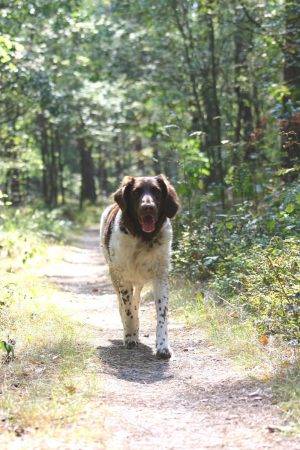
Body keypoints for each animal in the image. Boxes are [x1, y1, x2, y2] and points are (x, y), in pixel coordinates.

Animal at [99, 175, 179, 358]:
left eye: (156, 191)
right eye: (136, 192)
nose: (147, 207)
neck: (144, 237)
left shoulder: (160, 276)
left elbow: (162, 313)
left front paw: (163, 346)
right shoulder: (123, 277)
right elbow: (127, 310)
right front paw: (130, 336)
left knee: (136, 300)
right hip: (114, 275)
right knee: (123, 305)